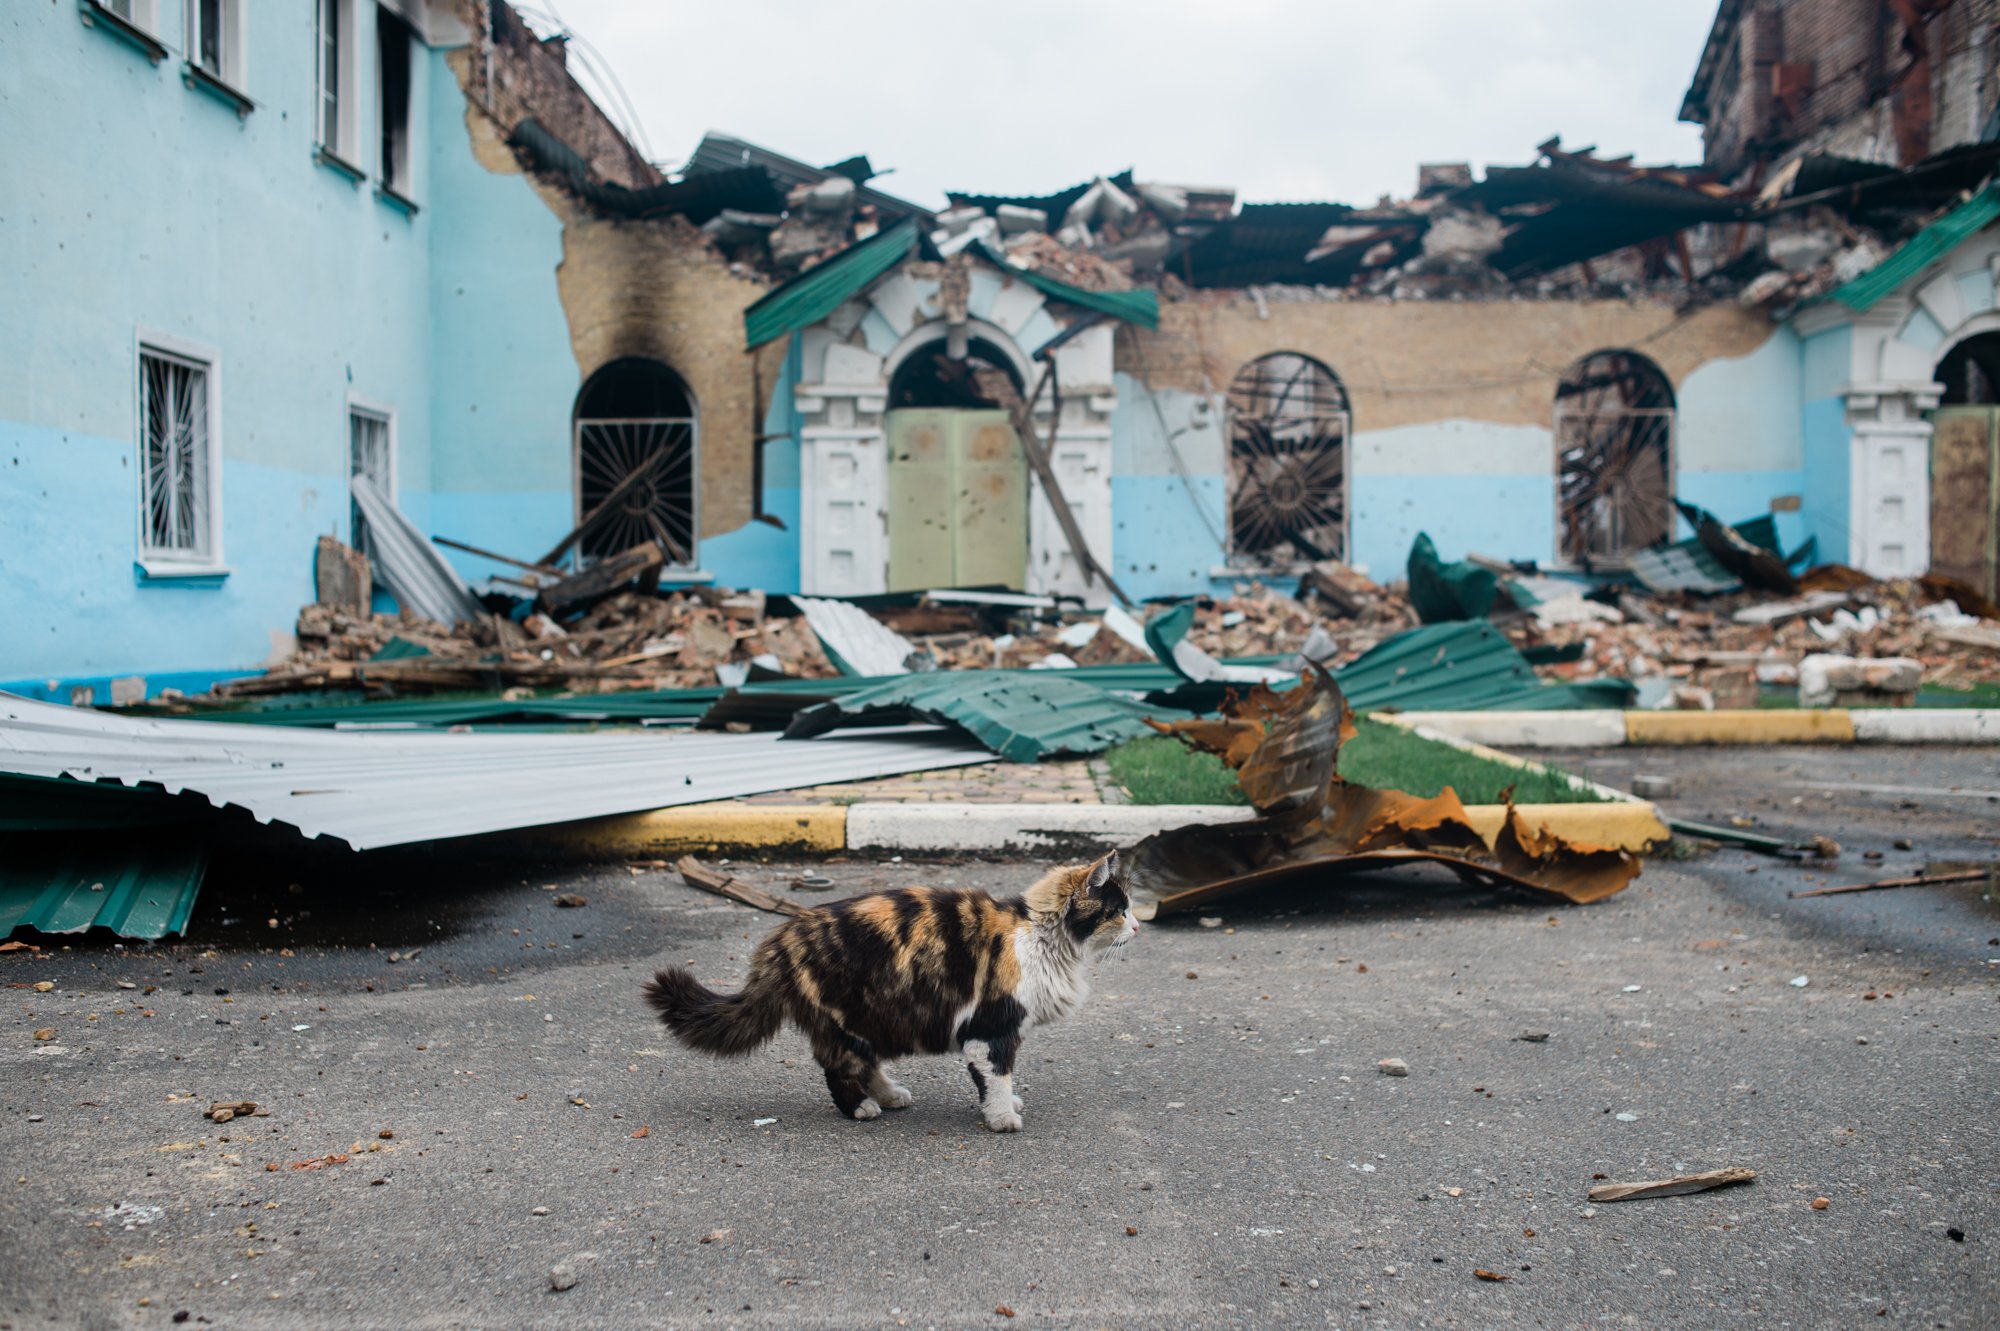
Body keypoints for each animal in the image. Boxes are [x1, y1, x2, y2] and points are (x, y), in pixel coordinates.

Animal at [648, 851, 1136, 1127]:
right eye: (1118, 910)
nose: (1137, 926)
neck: (1038, 936)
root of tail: (781, 939)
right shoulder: (991, 1028)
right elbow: (995, 1075)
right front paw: (1001, 1118)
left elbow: (995, 1078)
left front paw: (1004, 1106)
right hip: (844, 1020)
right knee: (837, 1068)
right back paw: (861, 1108)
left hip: (875, 1018)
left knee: (865, 1062)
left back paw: (888, 1094)